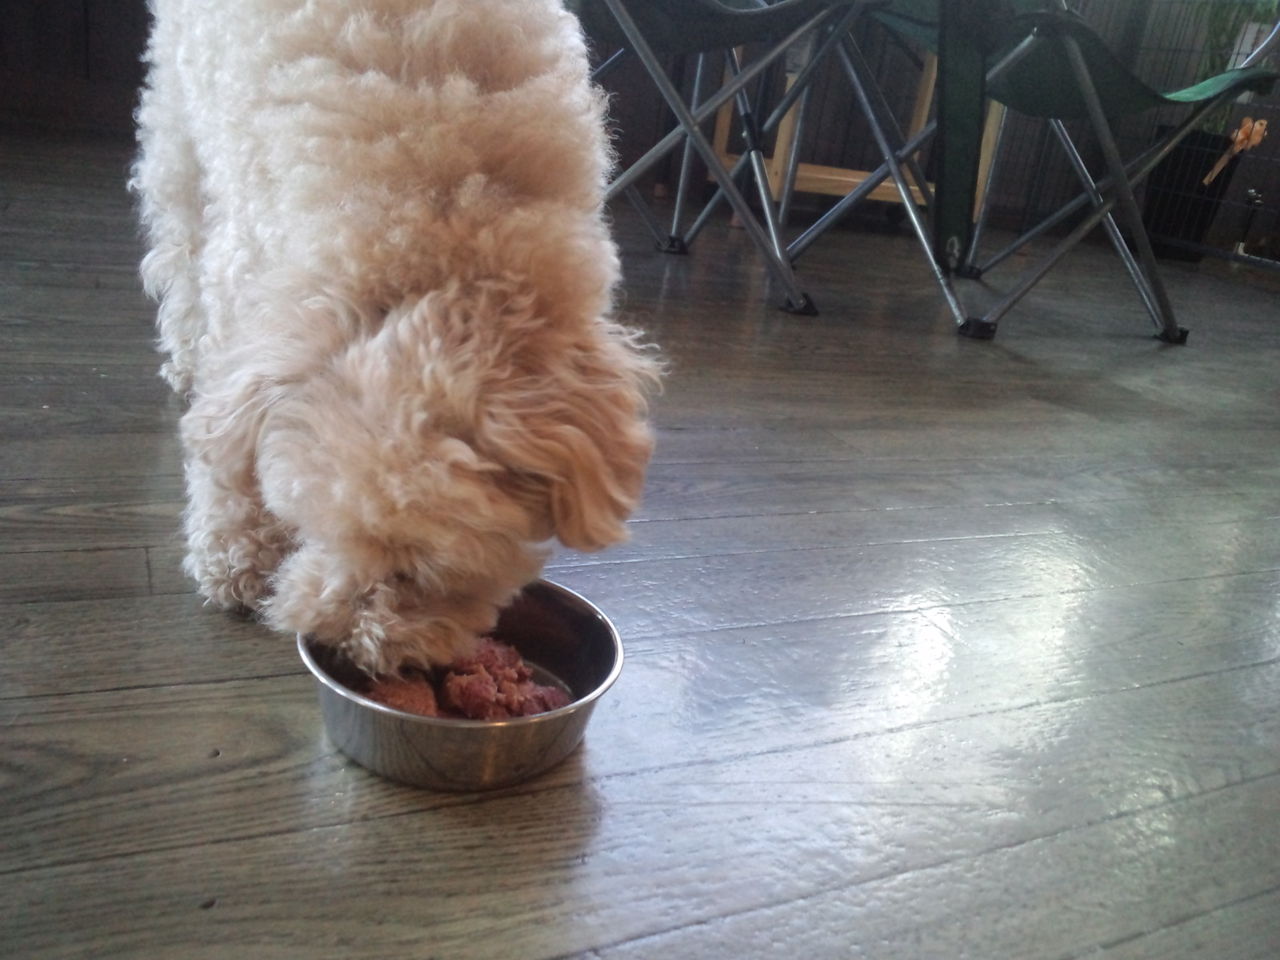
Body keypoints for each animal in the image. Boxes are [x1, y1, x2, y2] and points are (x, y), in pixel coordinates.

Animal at [131, 0, 658, 675]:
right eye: (316, 529)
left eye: (425, 574)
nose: (343, 645)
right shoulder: (247, 291)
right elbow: (226, 454)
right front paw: (235, 555)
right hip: (178, 130)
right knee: (178, 245)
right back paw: (181, 357)